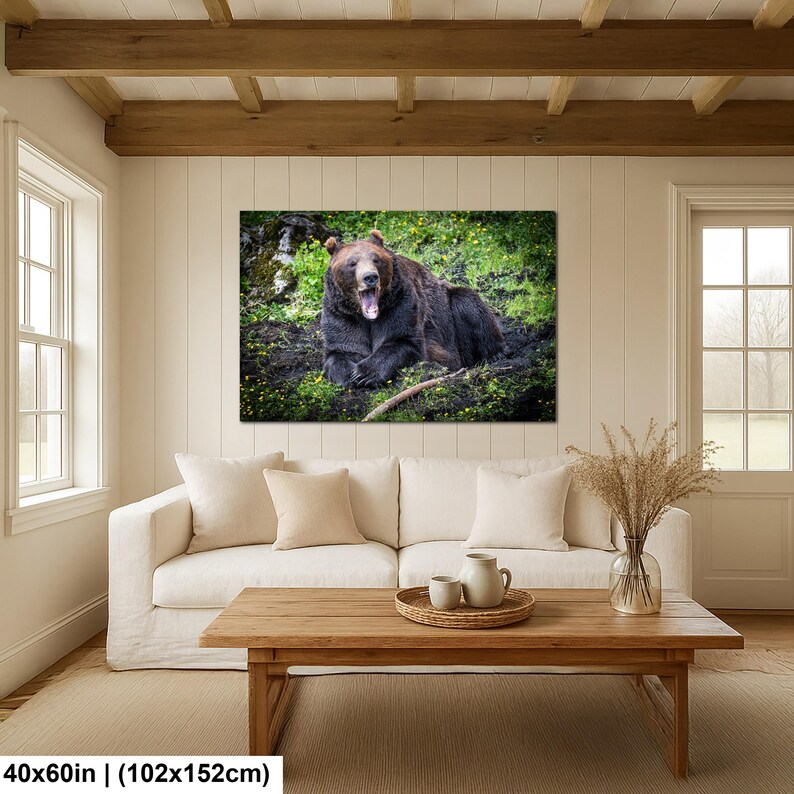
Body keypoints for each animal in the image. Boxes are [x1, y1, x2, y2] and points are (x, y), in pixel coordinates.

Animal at [320, 229, 505, 388]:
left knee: (468, 304)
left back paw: (495, 355)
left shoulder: (399, 303)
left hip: (450, 309)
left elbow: (404, 341)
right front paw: (348, 375)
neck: (368, 317)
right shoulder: (341, 314)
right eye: (352, 263)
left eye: (376, 259)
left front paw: (365, 373)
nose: (370, 277)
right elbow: (341, 349)